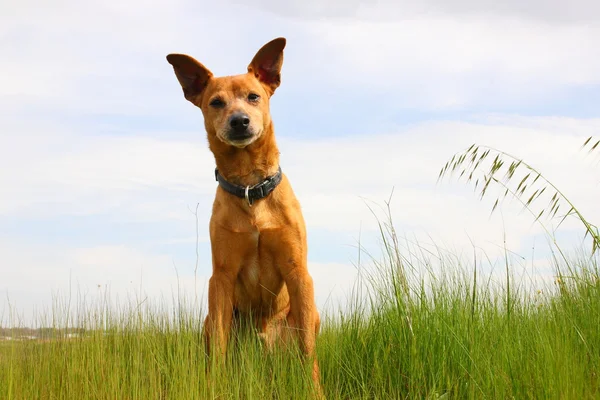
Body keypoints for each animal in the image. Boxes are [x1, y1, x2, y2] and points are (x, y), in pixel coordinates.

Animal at [164, 37, 324, 394]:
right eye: (216, 102)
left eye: (254, 96)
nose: (239, 121)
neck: (251, 187)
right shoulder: (221, 277)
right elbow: (220, 349)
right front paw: (215, 386)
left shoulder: (298, 271)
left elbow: (308, 352)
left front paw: (314, 391)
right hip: (210, 320)